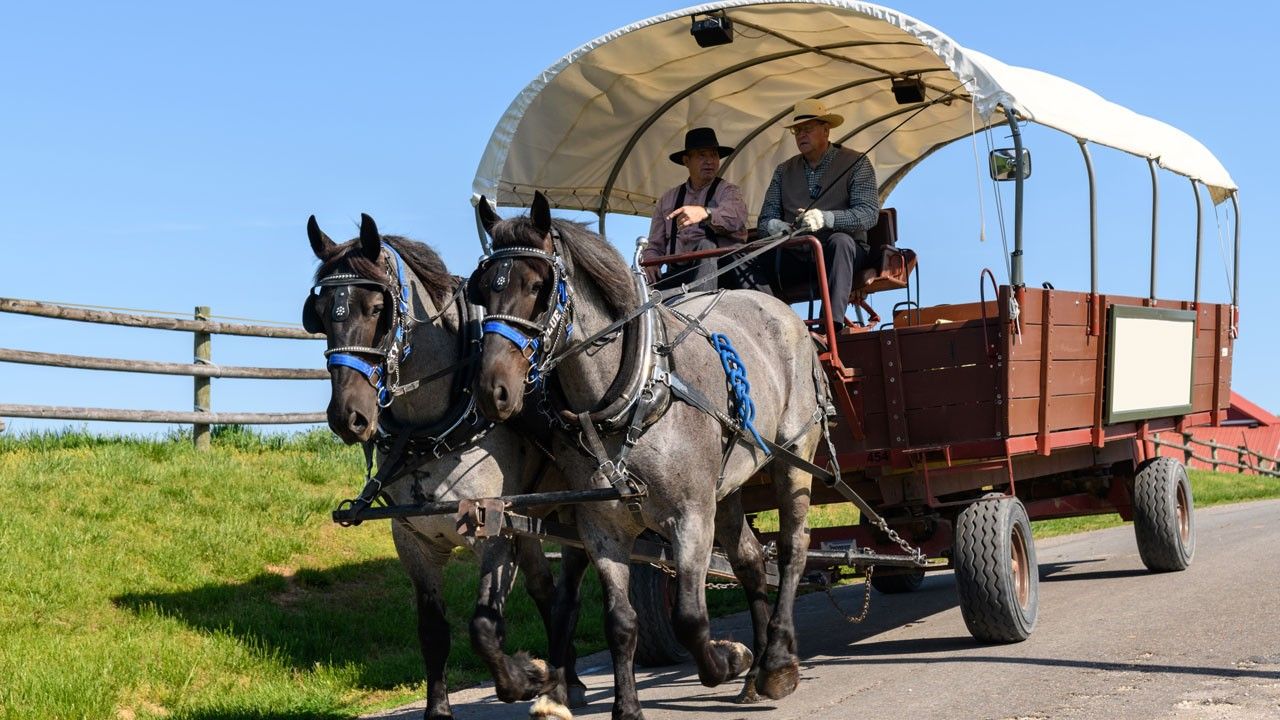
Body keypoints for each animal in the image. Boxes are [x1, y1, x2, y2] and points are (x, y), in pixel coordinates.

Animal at [299, 213, 586, 717]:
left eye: (377, 308)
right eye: (321, 311)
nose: (347, 416)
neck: (431, 432)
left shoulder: (493, 533)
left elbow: (484, 626)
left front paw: (523, 678)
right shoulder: (413, 541)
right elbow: (433, 632)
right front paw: (440, 709)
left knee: (570, 593)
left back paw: (561, 681)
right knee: (546, 590)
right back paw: (564, 674)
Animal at [471, 192, 829, 717]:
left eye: (538, 286)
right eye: (481, 291)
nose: (492, 390)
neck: (633, 392)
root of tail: (781, 309)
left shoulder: (689, 516)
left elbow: (689, 617)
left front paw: (728, 659)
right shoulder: (601, 529)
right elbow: (620, 622)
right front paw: (627, 707)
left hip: (793, 453)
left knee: (791, 548)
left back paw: (778, 662)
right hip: (725, 483)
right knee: (748, 559)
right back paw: (759, 664)